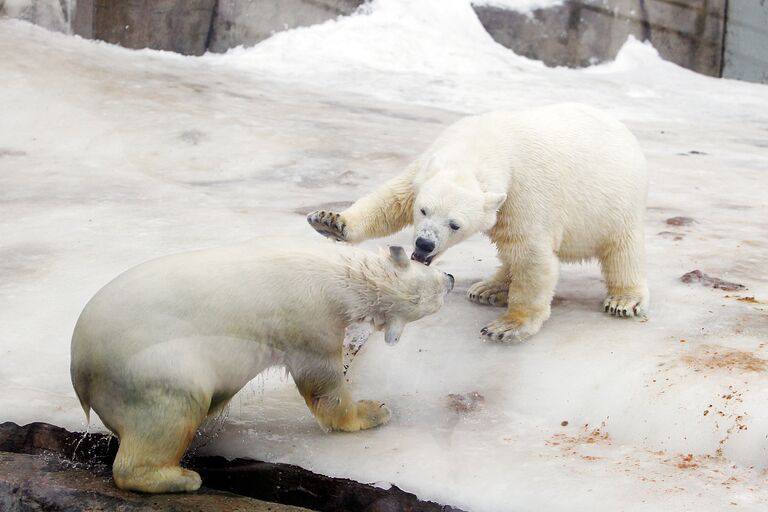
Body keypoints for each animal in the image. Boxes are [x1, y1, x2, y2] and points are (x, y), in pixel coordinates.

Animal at [69, 239, 452, 492]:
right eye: (435, 291)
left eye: (431, 273)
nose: (449, 278)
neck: (338, 275)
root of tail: (81, 371)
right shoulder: (311, 319)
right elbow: (321, 381)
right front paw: (371, 411)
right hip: (154, 367)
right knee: (172, 410)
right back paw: (179, 477)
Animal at [306, 103, 648, 344]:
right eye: (423, 211)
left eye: (455, 224)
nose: (424, 244)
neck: (483, 143)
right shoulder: (428, 165)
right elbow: (392, 198)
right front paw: (330, 222)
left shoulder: (524, 192)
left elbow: (533, 256)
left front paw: (507, 326)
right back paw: (489, 288)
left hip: (617, 203)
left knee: (622, 251)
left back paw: (623, 299)